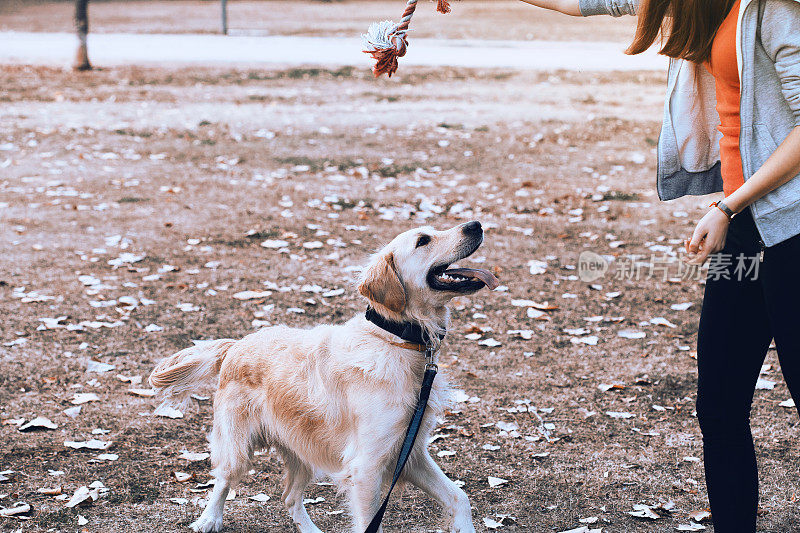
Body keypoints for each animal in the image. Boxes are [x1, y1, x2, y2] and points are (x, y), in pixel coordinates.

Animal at [148, 218, 496, 528]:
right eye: (423, 240)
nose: (476, 225)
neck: (397, 340)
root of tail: (237, 344)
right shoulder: (367, 466)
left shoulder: (410, 452)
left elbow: (460, 498)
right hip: (238, 445)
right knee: (222, 479)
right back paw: (208, 520)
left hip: (302, 448)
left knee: (289, 498)